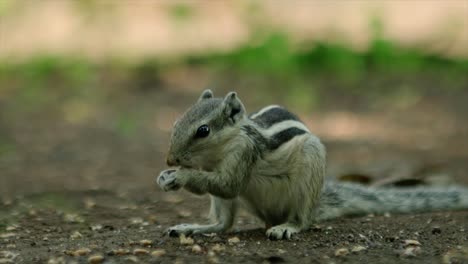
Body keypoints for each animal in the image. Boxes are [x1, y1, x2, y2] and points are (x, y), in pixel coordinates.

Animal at [157, 89, 468, 240]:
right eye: (176, 122)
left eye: (203, 131)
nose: (170, 159)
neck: (218, 152)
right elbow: (219, 188)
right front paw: (166, 176)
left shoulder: (244, 153)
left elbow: (228, 184)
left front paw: (180, 176)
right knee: (224, 224)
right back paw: (193, 228)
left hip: (308, 173)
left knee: (303, 220)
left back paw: (287, 227)